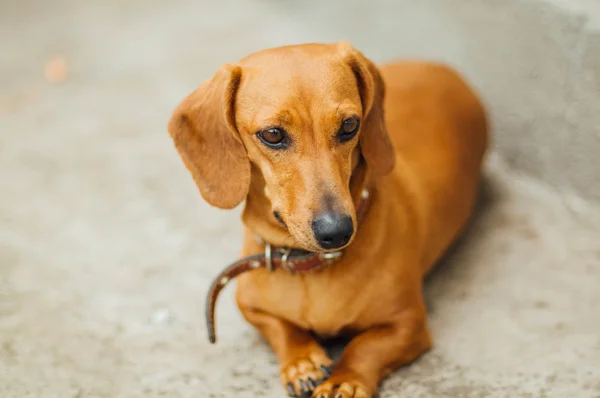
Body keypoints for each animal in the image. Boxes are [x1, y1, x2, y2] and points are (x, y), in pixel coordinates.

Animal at [168, 41, 488, 398]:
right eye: (273, 134)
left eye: (350, 125)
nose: (336, 231)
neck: (309, 266)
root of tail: (444, 69)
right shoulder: (251, 307)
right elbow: (281, 328)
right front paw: (301, 360)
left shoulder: (408, 323)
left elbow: (365, 347)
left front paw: (344, 380)